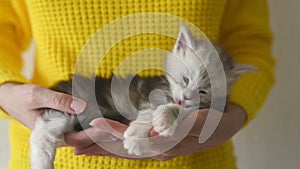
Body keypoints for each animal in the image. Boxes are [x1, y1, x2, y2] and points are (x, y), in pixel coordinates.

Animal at [29, 24, 253, 169]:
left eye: (204, 91)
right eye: (186, 79)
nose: (185, 98)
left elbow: (179, 110)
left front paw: (165, 121)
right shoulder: (150, 95)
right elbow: (147, 114)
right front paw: (137, 140)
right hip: (73, 103)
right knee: (44, 131)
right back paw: (42, 162)